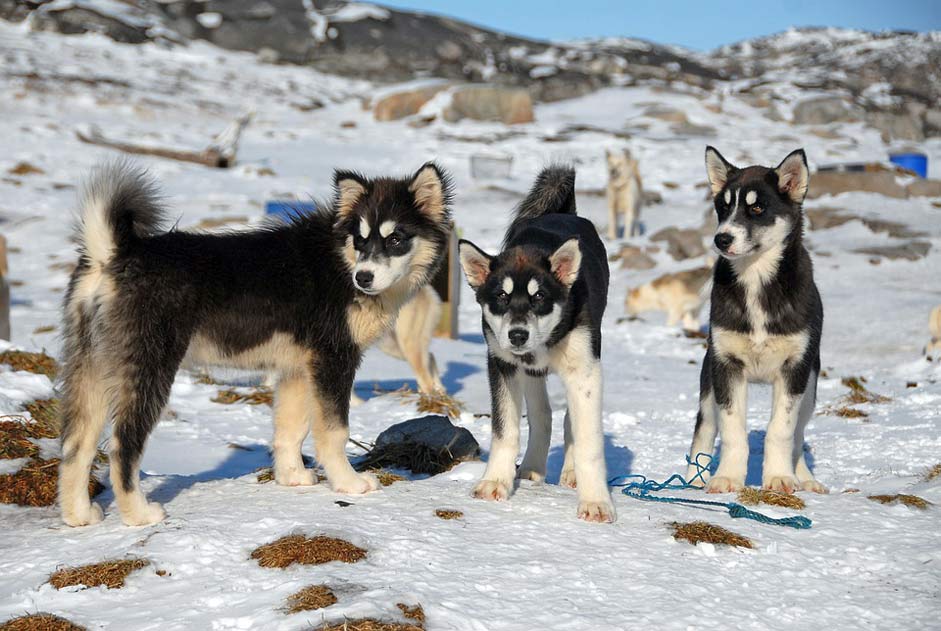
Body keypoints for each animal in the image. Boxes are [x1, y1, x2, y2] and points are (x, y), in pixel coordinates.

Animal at [58, 160, 452, 524]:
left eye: (396, 239)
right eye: (360, 239)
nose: (364, 277)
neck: (339, 259)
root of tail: (114, 254)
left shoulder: (297, 369)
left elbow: (291, 430)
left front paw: (292, 477)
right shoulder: (334, 358)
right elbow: (334, 431)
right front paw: (348, 483)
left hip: (92, 367)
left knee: (76, 444)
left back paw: (79, 515)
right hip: (149, 368)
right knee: (123, 446)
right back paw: (138, 514)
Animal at [458, 164, 616, 524]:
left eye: (539, 296)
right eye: (501, 297)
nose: (518, 335)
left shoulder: (585, 370)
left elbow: (588, 440)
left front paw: (596, 502)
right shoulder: (501, 365)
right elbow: (505, 430)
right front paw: (495, 482)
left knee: (570, 419)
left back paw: (570, 473)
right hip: (527, 372)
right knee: (542, 415)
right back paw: (531, 468)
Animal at [684, 146, 824, 496]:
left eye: (757, 208)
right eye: (723, 207)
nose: (721, 239)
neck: (756, 279)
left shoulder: (794, 369)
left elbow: (781, 431)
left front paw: (779, 477)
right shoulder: (726, 365)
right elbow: (733, 430)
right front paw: (728, 478)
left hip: (810, 389)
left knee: (798, 436)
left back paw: (805, 477)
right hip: (709, 380)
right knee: (705, 426)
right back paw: (693, 479)